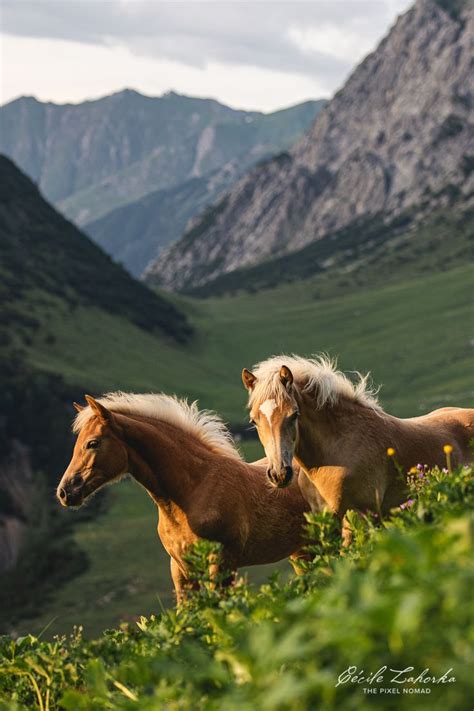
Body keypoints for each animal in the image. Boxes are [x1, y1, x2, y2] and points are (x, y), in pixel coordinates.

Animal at [56, 392, 312, 604]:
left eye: (92, 443)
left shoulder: (223, 563)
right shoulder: (181, 569)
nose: (65, 491)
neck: (193, 491)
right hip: (300, 552)